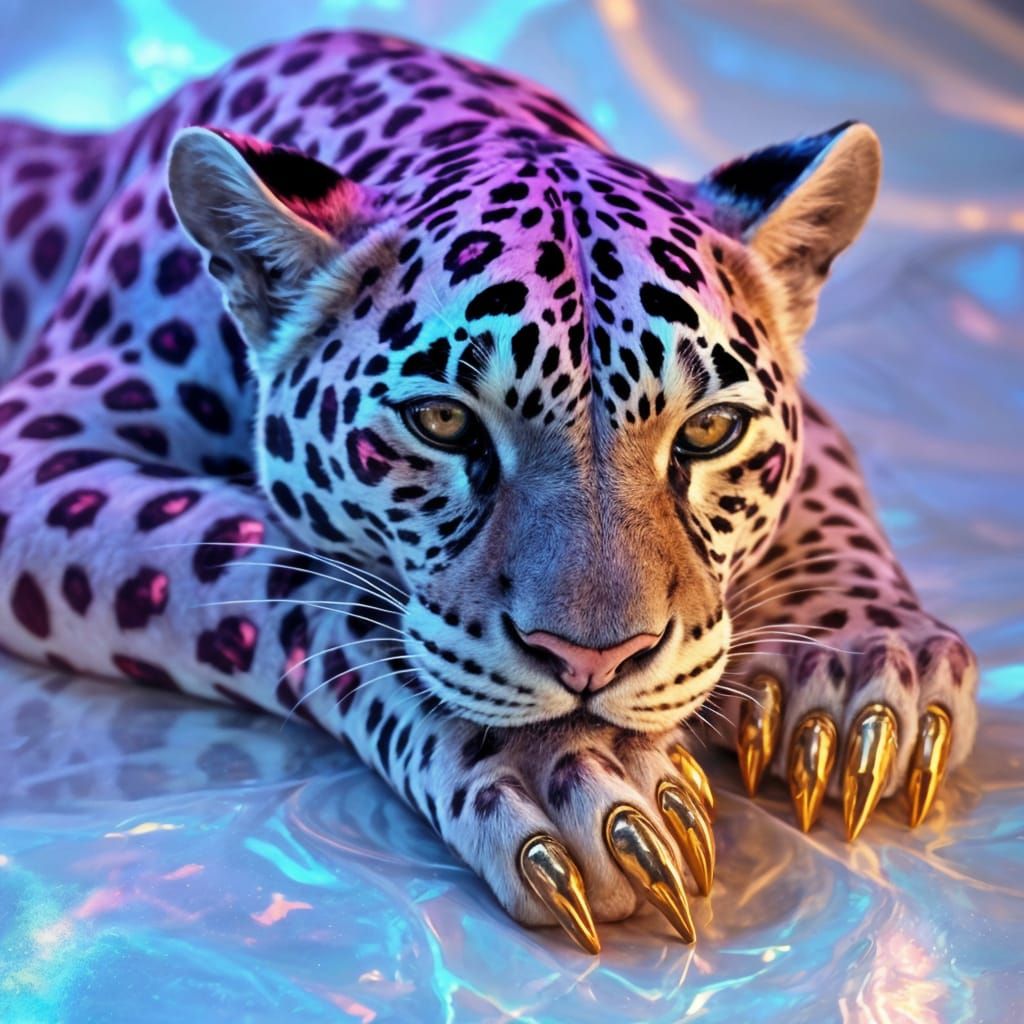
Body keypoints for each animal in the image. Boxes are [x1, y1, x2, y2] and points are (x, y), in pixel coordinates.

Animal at [0, 29, 978, 949]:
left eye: (708, 432)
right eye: (442, 423)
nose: (594, 665)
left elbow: (833, 499)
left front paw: (864, 670)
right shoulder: (35, 448)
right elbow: (303, 581)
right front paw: (565, 770)